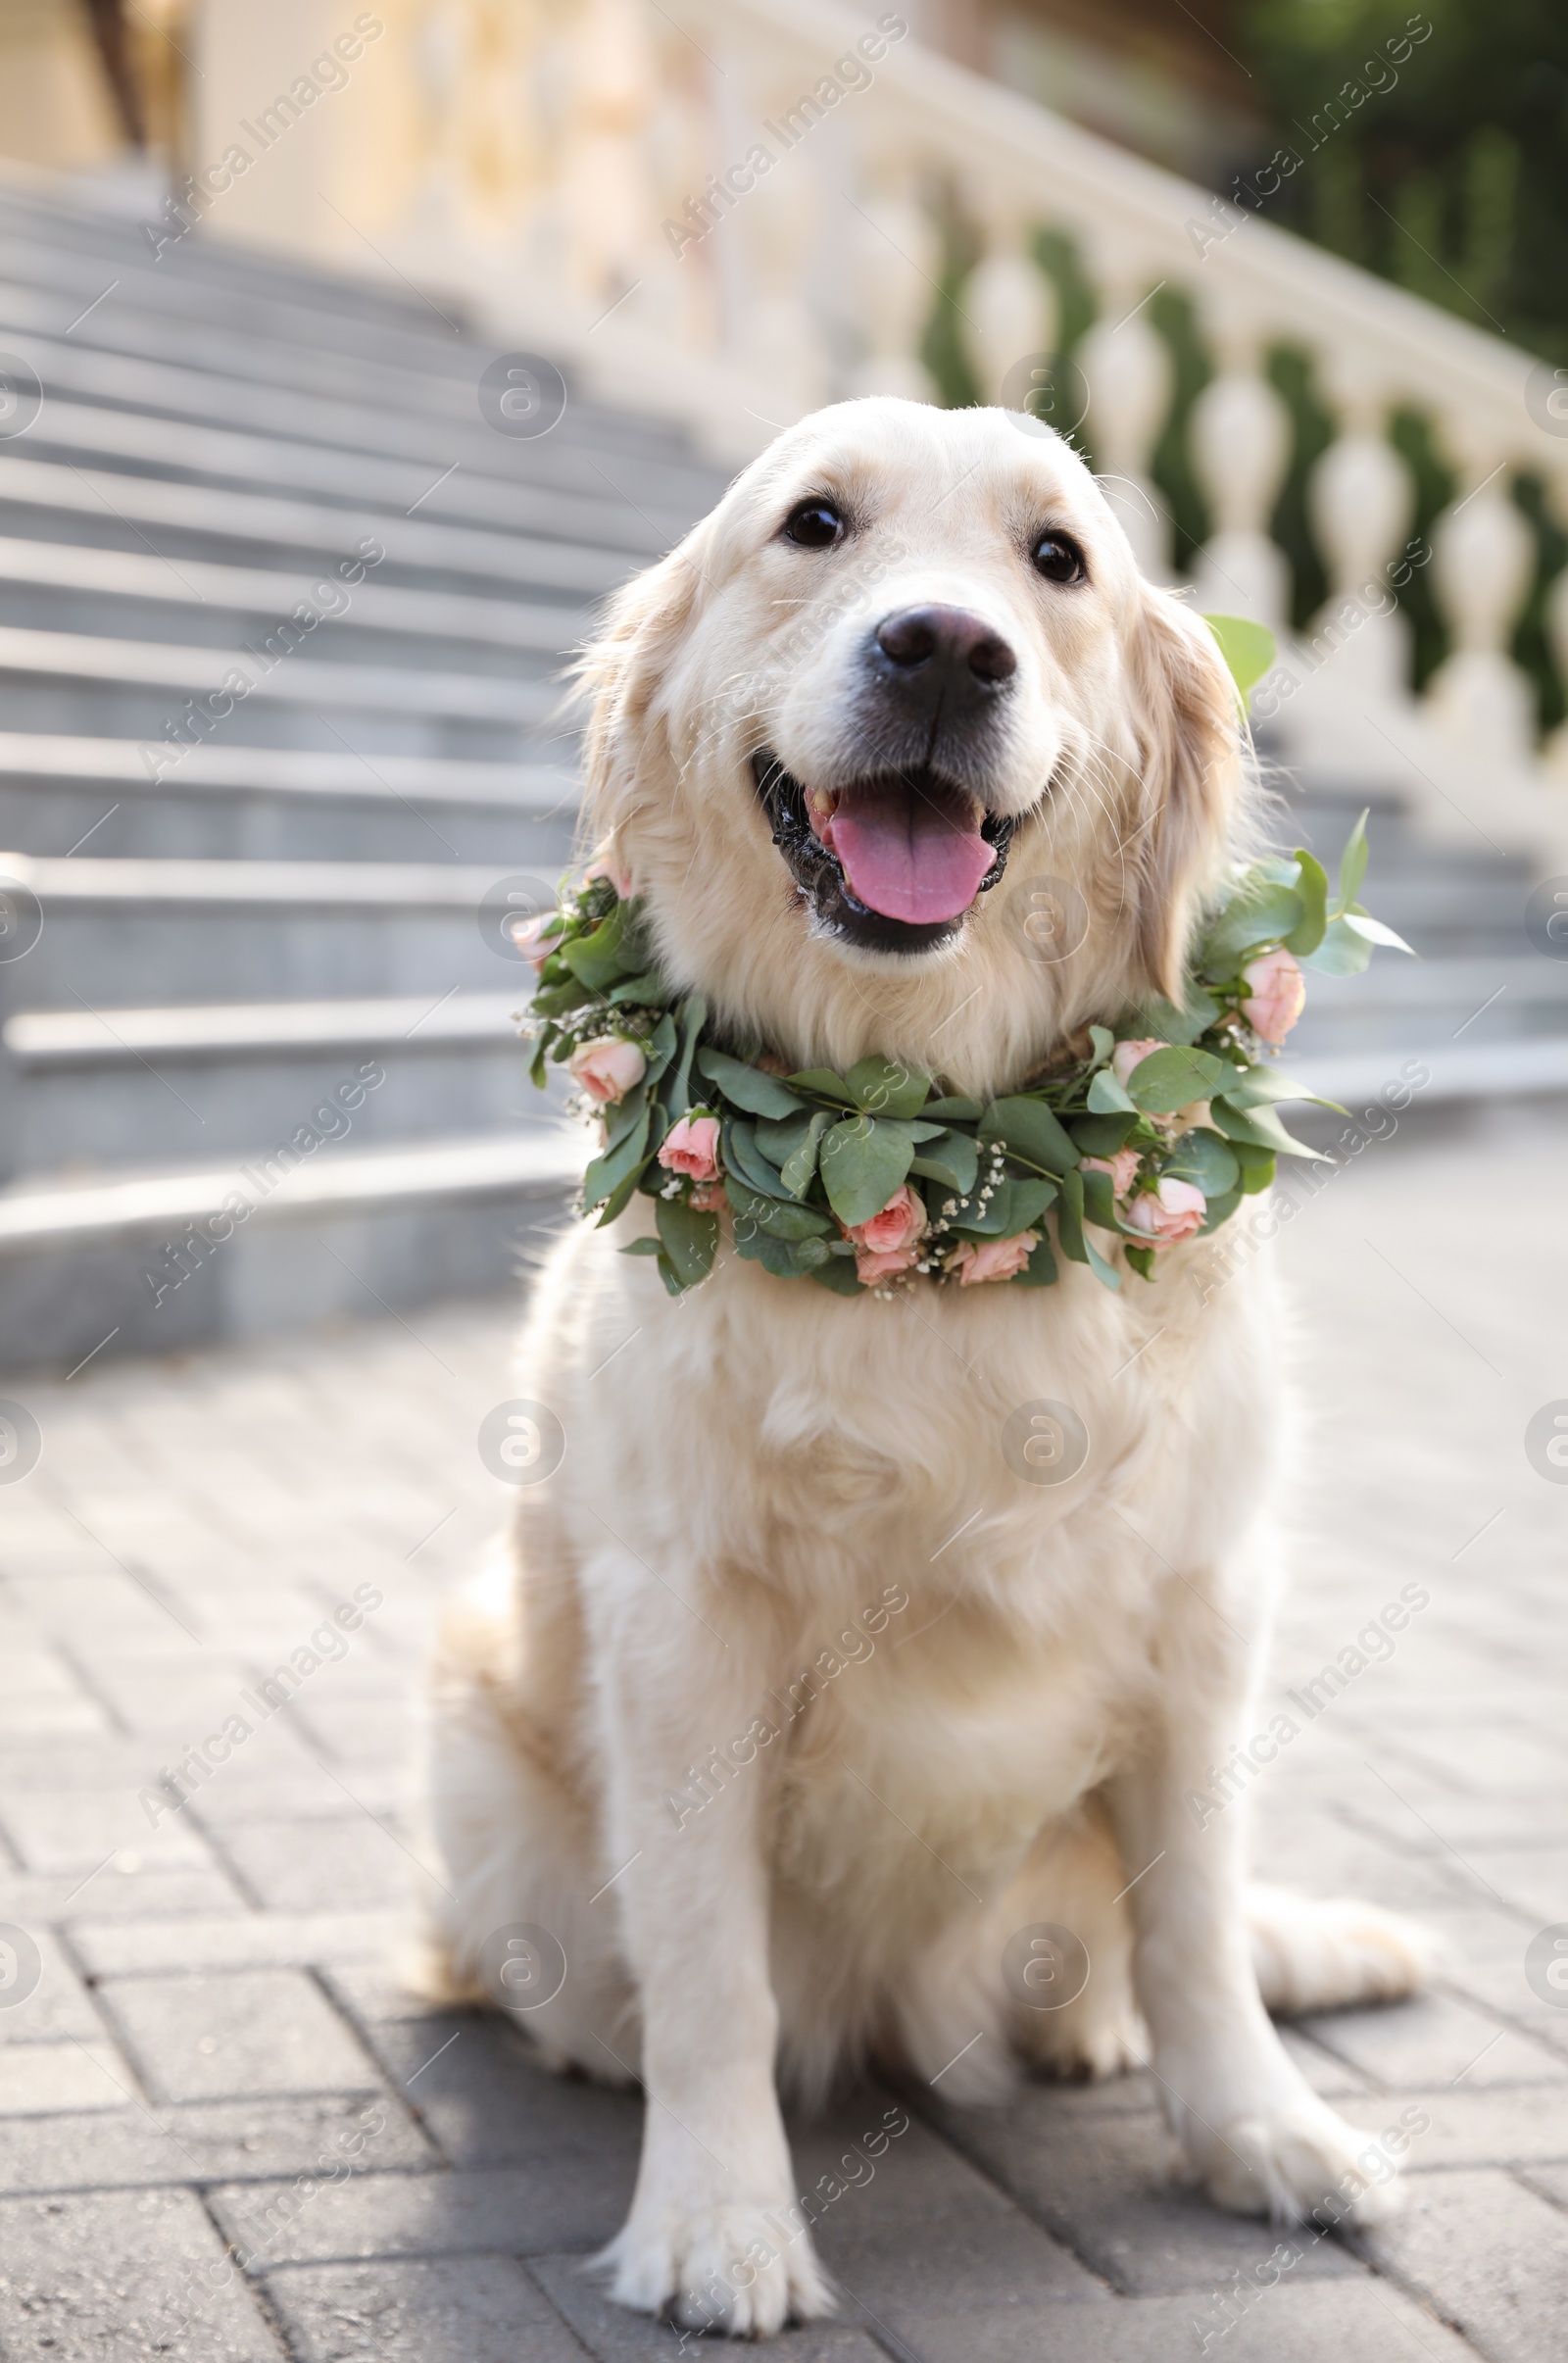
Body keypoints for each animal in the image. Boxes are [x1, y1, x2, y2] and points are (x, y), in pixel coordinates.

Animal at [424, 397, 1436, 2335]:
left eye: (1057, 560)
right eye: (816, 524)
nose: (948, 648)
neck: (926, 1141)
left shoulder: (1206, 1598)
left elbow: (1198, 1918)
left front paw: (1258, 2129)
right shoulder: (683, 1620)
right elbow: (710, 1961)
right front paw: (716, 2218)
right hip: (480, 1756)